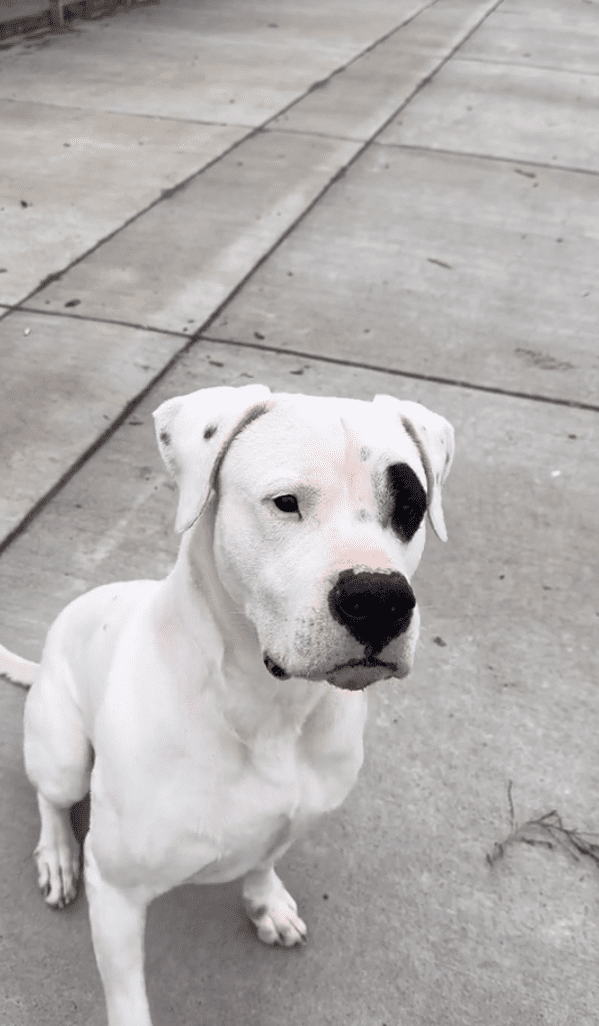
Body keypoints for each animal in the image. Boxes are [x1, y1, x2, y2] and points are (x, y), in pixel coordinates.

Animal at [1, 385, 453, 1026]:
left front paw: (266, 902)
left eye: (411, 507)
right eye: (285, 503)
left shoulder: (294, 815)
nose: (381, 599)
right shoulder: (116, 890)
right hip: (61, 751)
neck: (269, 708)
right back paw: (57, 854)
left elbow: (264, 858)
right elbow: (128, 998)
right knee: (51, 799)